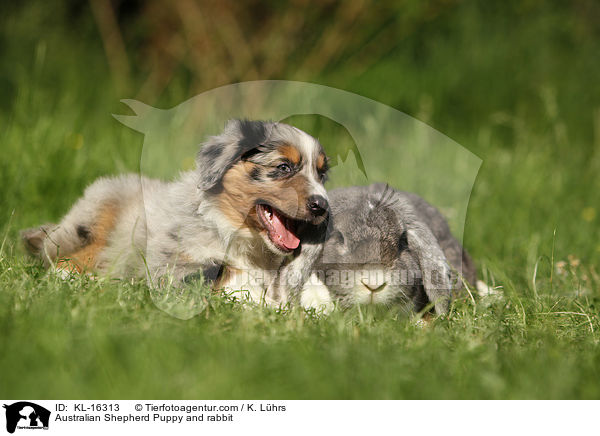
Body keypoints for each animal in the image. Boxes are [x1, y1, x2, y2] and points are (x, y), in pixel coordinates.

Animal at [22, 120, 332, 310]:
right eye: (284, 167)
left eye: (321, 174)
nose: (322, 207)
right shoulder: (178, 264)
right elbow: (227, 275)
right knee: (67, 259)